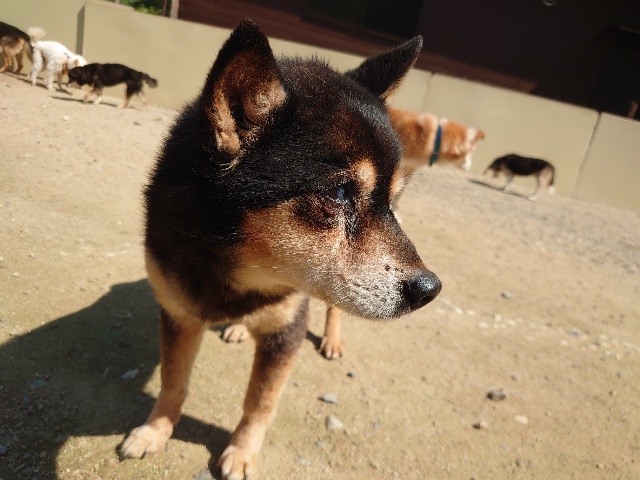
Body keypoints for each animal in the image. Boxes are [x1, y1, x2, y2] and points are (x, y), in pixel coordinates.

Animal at [118, 20, 441, 478]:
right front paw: (154, 431)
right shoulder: (178, 314)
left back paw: (330, 339)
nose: (430, 289)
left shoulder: (286, 330)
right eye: (339, 193)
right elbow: (173, 382)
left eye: (389, 201)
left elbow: (260, 402)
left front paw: (242, 452)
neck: (239, 270)